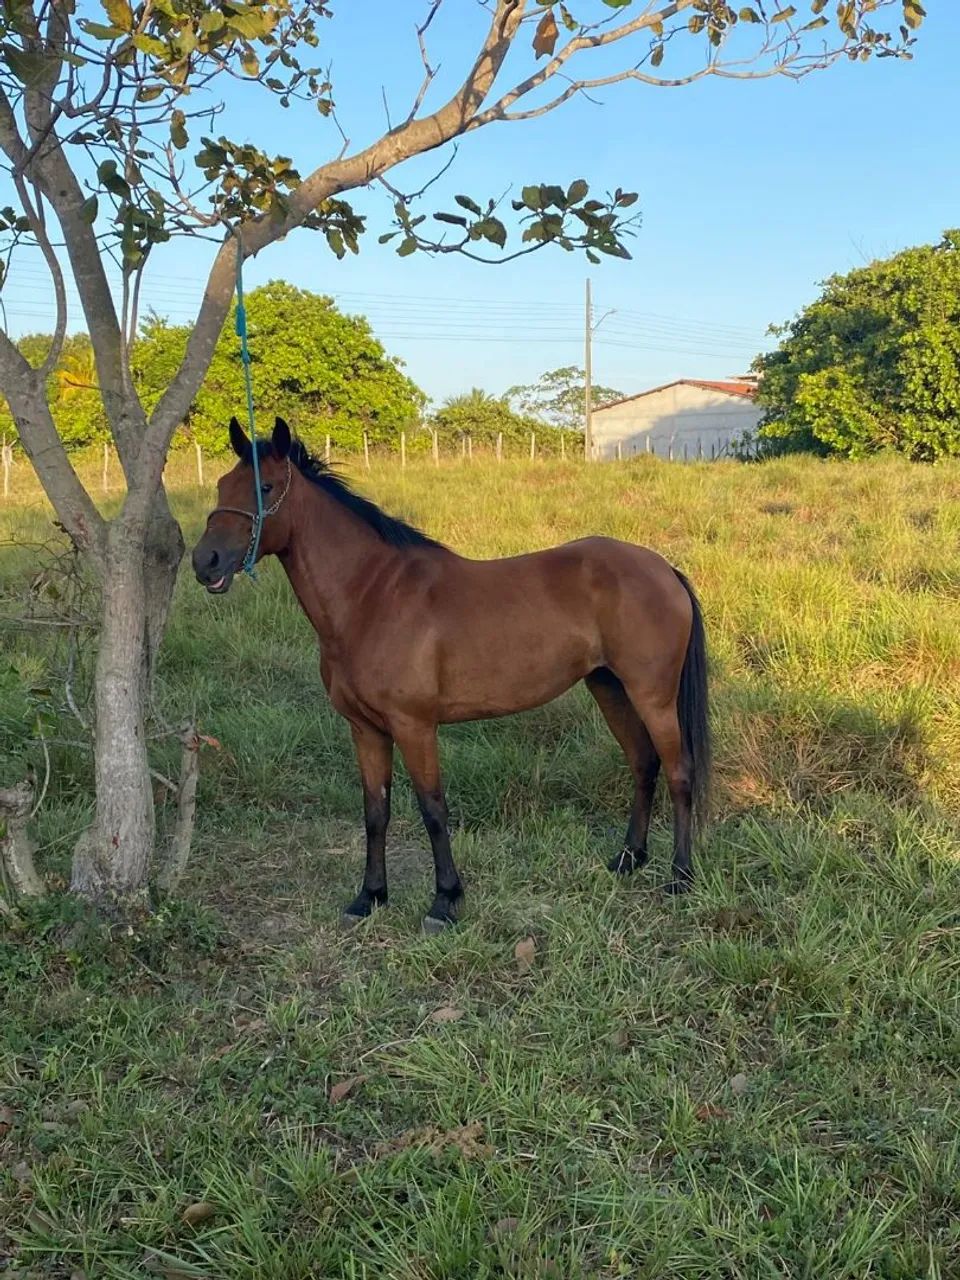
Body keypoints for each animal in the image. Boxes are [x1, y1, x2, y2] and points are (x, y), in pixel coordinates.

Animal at [192, 416, 711, 933]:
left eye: (265, 487)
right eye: (221, 485)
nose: (204, 562)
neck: (372, 596)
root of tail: (663, 568)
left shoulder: (415, 726)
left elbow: (433, 810)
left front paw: (445, 901)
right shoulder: (365, 729)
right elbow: (375, 811)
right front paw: (370, 896)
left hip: (652, 697)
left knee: (679, 772)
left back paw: (680, 876)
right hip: (610, 689)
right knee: (643, 763)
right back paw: (629, 858)